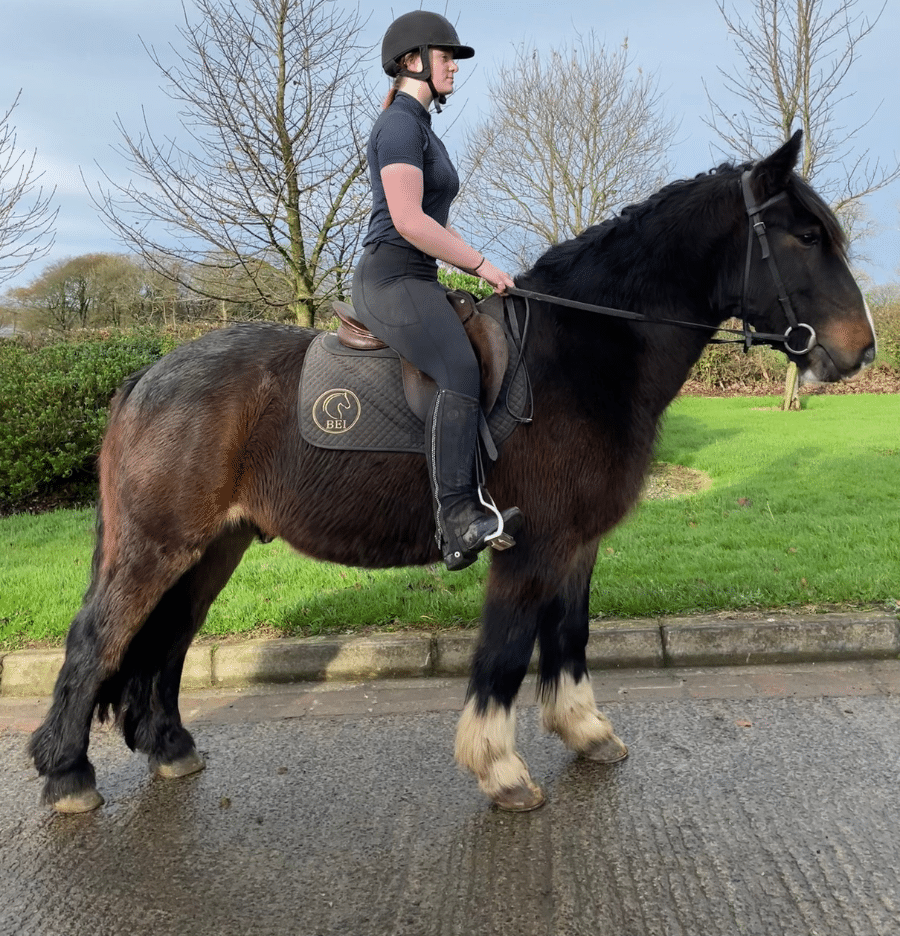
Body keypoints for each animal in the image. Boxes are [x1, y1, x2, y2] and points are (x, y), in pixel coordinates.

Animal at [29, 131, 875, 813]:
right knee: (98, 638)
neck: (581, 353)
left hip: (215, 546)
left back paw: (170, 748)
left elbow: (569, 638)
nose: (862, 349)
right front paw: (500, 769)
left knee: (168, 639)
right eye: (805, 235)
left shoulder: (577, 545)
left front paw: (585, 730)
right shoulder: (527, 548)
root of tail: (146, 375)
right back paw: (69, 775)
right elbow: (504, 654)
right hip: (157, 546)